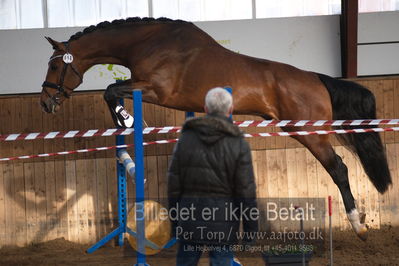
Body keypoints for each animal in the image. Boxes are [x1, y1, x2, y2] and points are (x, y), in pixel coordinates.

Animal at [39, 17, 390, 241]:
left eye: (55, 65)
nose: (45, 102)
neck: (149, 42)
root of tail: (317, 78)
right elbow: (111, 90)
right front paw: (126, 121)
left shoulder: (155, 89)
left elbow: (111, 89)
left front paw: (127, 119)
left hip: (310, 133)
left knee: (339, 168)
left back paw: (359, 227)